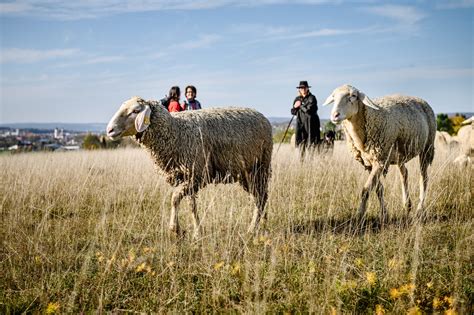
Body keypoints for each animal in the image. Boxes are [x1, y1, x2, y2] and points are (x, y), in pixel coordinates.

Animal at [106, 97, 272, 239]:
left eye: (135, 111)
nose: (109, 130)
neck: (175, 132)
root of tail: (261, 115)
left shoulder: (196, 174)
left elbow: (174, 199)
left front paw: (176, 229)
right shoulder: (187, 176)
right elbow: (191, 205)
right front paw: (196, 231)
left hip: (260, 166)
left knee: (261, 197)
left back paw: (253, 229)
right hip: (246, 173)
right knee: (259, 197)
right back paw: (262, 225)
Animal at [322, 84, 436, 222]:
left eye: (353, 96)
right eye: (333, 97)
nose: (335, 115)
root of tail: (421, 100)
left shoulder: (380, 160)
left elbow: (365, 190)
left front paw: (359, 216)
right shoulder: (369, 163)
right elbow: (378, 189)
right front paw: (384, 214)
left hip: (427, 147)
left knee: (423, 178)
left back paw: (420, 210)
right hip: (400, 155)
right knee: (404, 174)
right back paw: (407, 205)